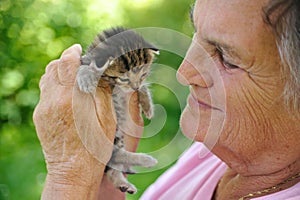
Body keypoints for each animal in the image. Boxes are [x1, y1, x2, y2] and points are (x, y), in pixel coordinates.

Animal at [76, 27, 158, 194]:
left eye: (143, 74)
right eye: (124, 79)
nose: (135, 87)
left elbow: (144, 87)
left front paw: (147, 104)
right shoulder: (84, 60)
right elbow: (84, 67)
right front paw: (86, 79)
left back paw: (124, 182)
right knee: (113, 155)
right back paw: (146, 160)